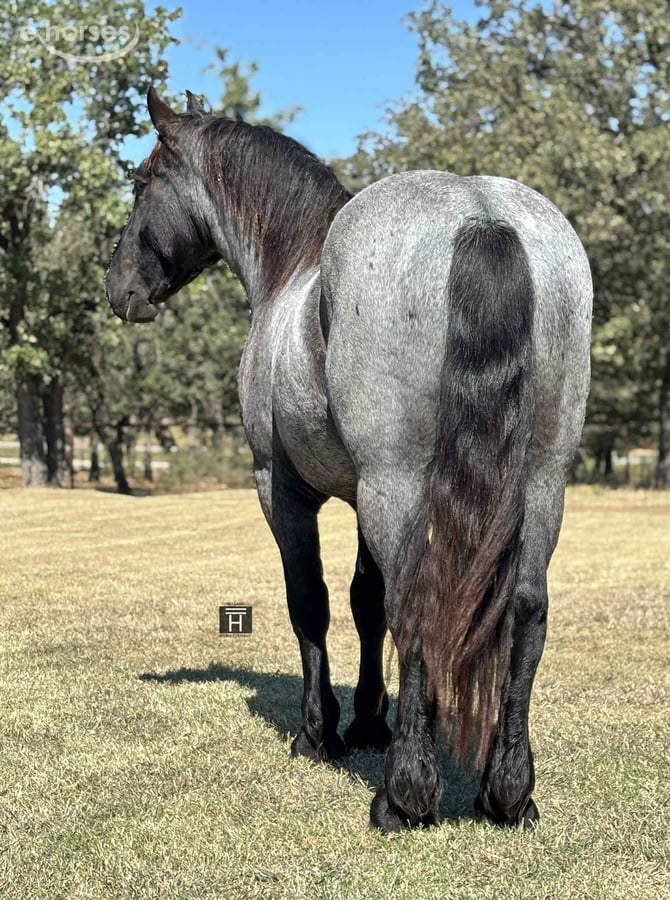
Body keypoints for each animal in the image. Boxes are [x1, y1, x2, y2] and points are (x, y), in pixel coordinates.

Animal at [106, 87, 592, 832]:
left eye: (141, 182)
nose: (120, 287)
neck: (294, 268)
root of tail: (481, 215)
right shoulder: (365, 496)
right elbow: (367, 602)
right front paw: (369, 722)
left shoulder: (283, 488)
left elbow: (312, 600)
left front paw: (321, 733)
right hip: (538, 485)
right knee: (525, 610)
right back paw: (508, 794)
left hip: (400, 484)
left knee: (417, 603)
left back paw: (403, 795)